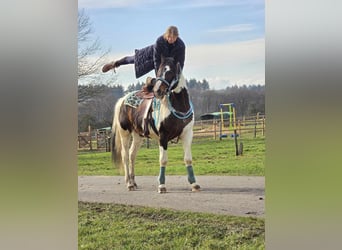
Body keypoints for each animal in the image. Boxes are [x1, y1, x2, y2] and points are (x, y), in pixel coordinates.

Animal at [111, 57, 199, 193]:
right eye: (158, 71)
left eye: (170, 71)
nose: (158, 91)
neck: (178, 106)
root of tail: (122, 100)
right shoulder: (163, 137)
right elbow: (163, 160)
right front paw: (162, 186)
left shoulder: (187, 134)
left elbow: (188, 158)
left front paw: (194, 184)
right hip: (124, 133)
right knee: (125, 155)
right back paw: (129, 184)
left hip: (137, 136)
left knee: (132, 155)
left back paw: (133, 182)